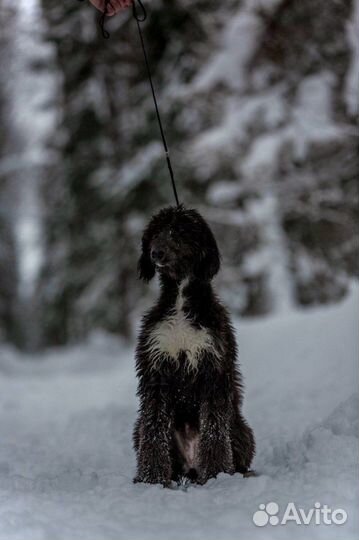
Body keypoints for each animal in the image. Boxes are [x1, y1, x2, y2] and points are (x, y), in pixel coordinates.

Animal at [134, 206, 255, 486]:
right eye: (155, 232)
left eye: (179, 231)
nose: (156, 253)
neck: (180, 300)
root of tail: (190, 465)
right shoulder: (156, 370)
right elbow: (154, 428)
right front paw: (151, 479)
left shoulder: (213, 368)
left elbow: (214, 429)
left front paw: (217, 475)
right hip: (137, 430)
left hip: (241, 429)